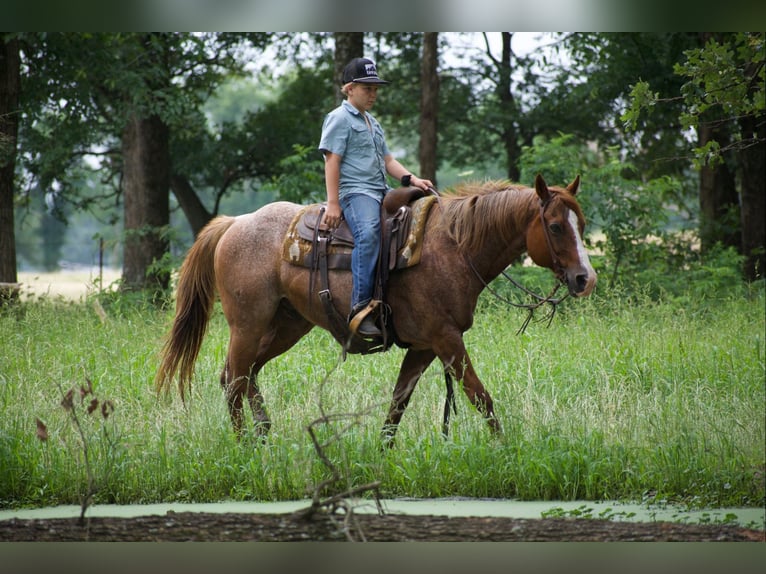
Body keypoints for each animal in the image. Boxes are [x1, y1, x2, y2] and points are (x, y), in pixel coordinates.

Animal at [155, 174, 597, 444]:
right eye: (555, 226)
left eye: (582, 223)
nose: (585, 279)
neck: (455, 247)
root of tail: (234, 223)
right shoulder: (447, 340)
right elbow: (480, 397)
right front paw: (504, 448)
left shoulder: (424, 346)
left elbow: (397, 405)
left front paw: (383, 455)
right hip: (248, 325)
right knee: (234, 381)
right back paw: (247, 445)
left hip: (286, 326)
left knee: (242, 376)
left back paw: (264, 437)